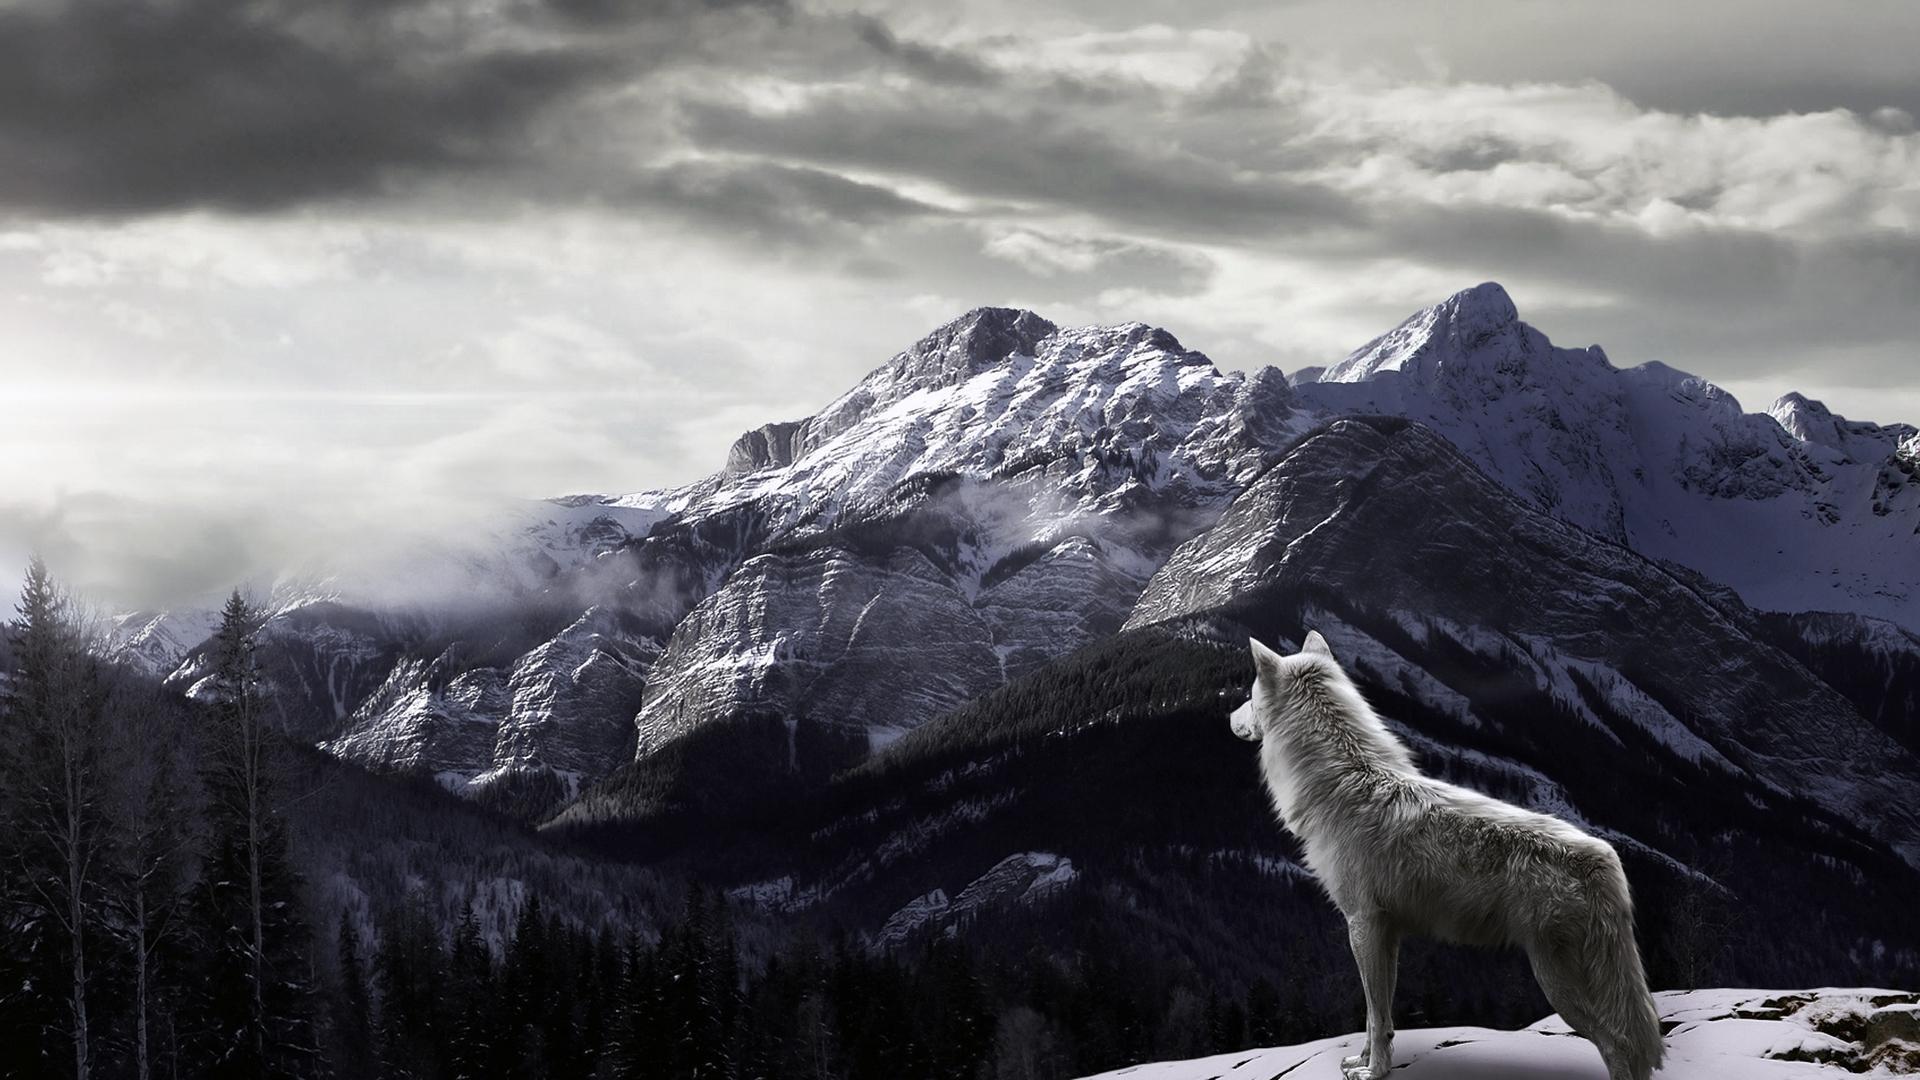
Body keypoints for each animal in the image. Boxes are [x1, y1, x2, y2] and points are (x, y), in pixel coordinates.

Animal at [1230, 632, 1664, 1080]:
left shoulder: (1362, 924)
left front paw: (1374, 1071)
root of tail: (1604, 858)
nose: (1229, 716)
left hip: (1558, 985)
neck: (1343, 783)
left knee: (1620, 1045)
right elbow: (1377, 1015)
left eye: (1248, 696)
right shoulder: (1386, 933)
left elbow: (1375, 1014)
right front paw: (1363, 1060)